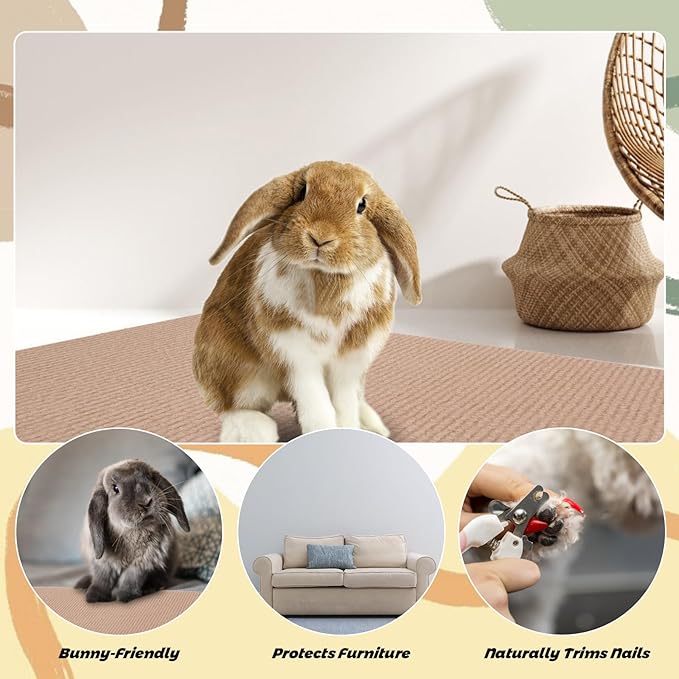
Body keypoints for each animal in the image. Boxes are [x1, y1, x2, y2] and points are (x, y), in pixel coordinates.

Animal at [74, 459, 191, 603]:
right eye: (115, 488)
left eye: (150, 477)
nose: (146, 501)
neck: (133, 532)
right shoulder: (104, 562)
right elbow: (102, 579)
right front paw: (93, 597)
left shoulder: (142, 563)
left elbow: (131, 579)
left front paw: (126, 596)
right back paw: (81, 585)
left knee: (161, 577)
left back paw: (152, 587)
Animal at [193, 160, 421, 442]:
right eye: (302, 192)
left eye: (362, 205)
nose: (320, 238)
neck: (323, 277)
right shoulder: (296, 356)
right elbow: (316, 402)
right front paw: (322, 433)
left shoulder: (350, 360)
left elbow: (343, 403)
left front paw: (348, 430)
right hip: (235, 367)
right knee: (232, 406)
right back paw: (253, 432)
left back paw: (373, 424)